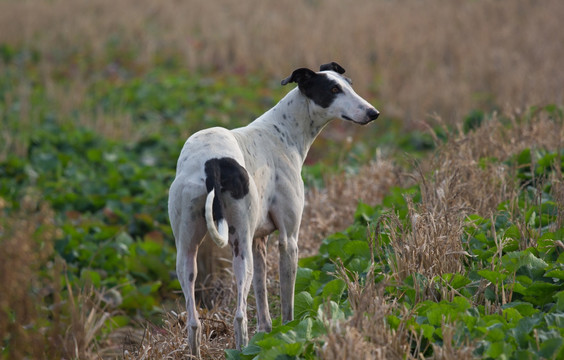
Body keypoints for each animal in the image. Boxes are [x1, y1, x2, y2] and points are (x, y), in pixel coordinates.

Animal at [167, 62, 378, 358]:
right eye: (334, 89)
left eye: (349, 84)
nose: (373, 113)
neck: (283, 131)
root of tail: (213, 164)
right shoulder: (288, 240)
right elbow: (288, 304)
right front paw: (289, 336)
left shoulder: (259, 241)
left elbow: (263, 300)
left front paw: (266, 336)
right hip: (240, 248)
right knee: (239, 316)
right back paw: (241, 348)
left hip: (188, 252)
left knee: (194, 321)